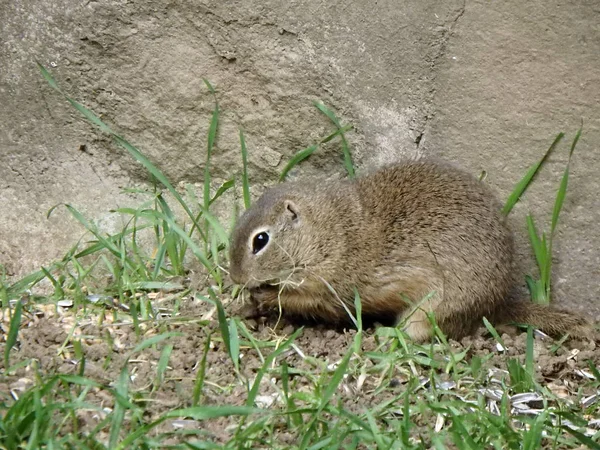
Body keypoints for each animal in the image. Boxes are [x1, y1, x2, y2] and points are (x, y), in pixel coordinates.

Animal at [230, 160, 592, 340]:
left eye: (260, 240)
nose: (235, 277)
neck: (332, 231)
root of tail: (498, 303)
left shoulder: (330, 287)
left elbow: (301, 299)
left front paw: (262, 295)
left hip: (428, 310)